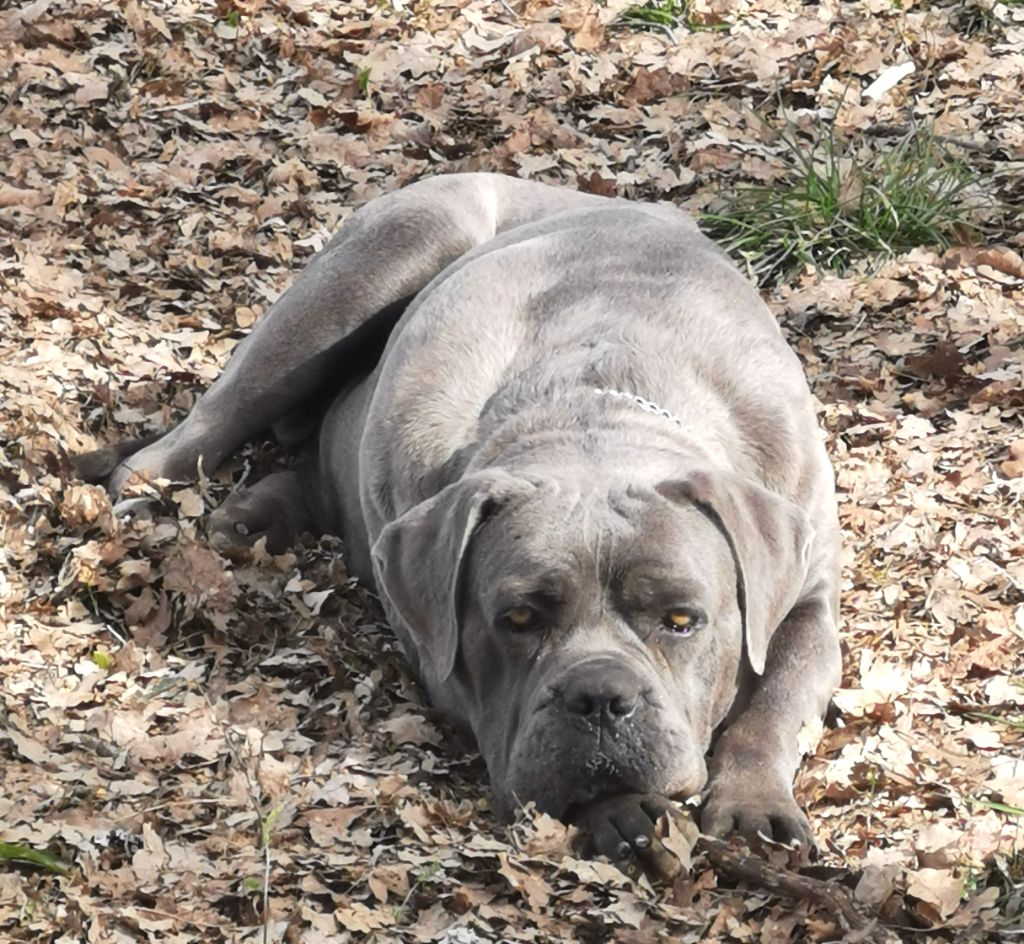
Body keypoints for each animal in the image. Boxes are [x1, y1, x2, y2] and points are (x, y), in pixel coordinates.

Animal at [79, 175, 839, 868]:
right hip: (386, 255)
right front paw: (620, 811)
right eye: (518, 619)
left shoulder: (808, 592)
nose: (599, 697)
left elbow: (776, 701)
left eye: (683, 621)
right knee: (207, 423)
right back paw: (148, 497)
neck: (595, 412)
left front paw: (753, 805)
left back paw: (250, 516)